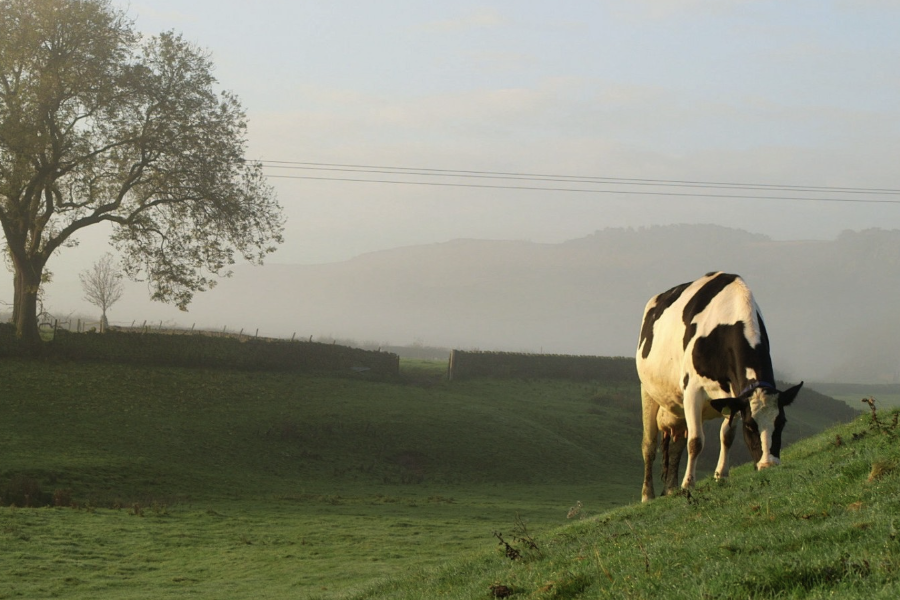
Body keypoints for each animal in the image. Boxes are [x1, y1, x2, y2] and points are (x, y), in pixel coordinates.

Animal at [636, 272, 804, 502]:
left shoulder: (734, 396)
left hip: (676, 405)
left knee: (677, 444)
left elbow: (727, 436)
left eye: (781, 422)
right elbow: (696, 441)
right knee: (649, 445)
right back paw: (648, 495)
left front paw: (721, 475)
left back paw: (670, 488)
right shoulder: (693, 389)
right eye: (750, 425)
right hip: (648, 391)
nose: (768, 465)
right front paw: (688, 484)